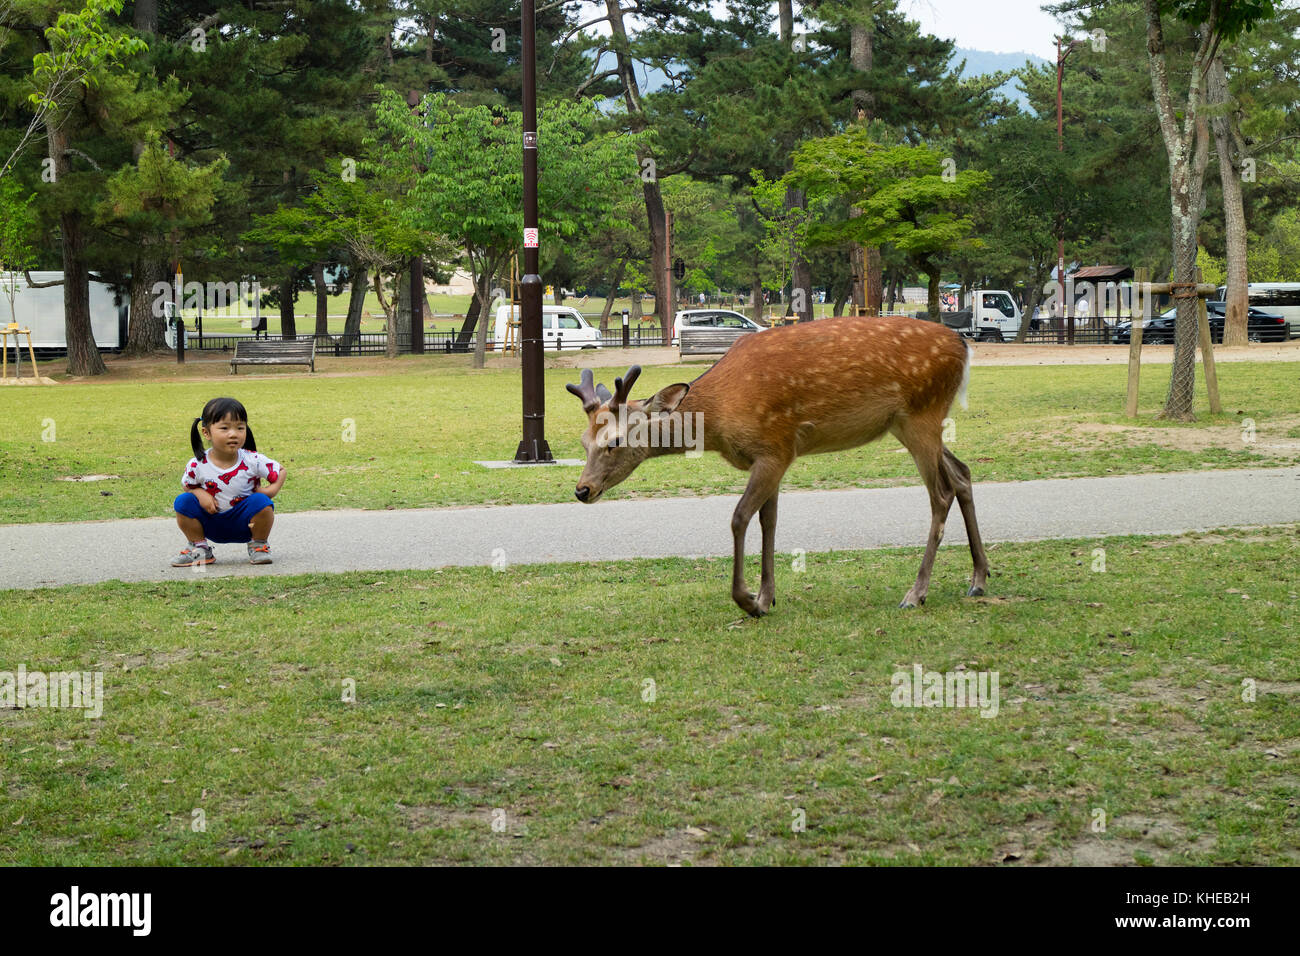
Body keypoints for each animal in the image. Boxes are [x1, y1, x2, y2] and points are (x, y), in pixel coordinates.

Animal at [564, 314, 987, 616]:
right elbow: (769, 520)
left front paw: (748, 600)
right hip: (907, 423)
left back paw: (916, 593)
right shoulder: (773, 455)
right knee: (963, 474)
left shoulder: (776, 448)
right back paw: (979, 579)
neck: (718, 419)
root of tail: (964, 346)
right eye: (583, 441)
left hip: (922, 414)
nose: (583, 490)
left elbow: (739, 517)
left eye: (614, 442)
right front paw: (768, 597)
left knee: (940, 494)